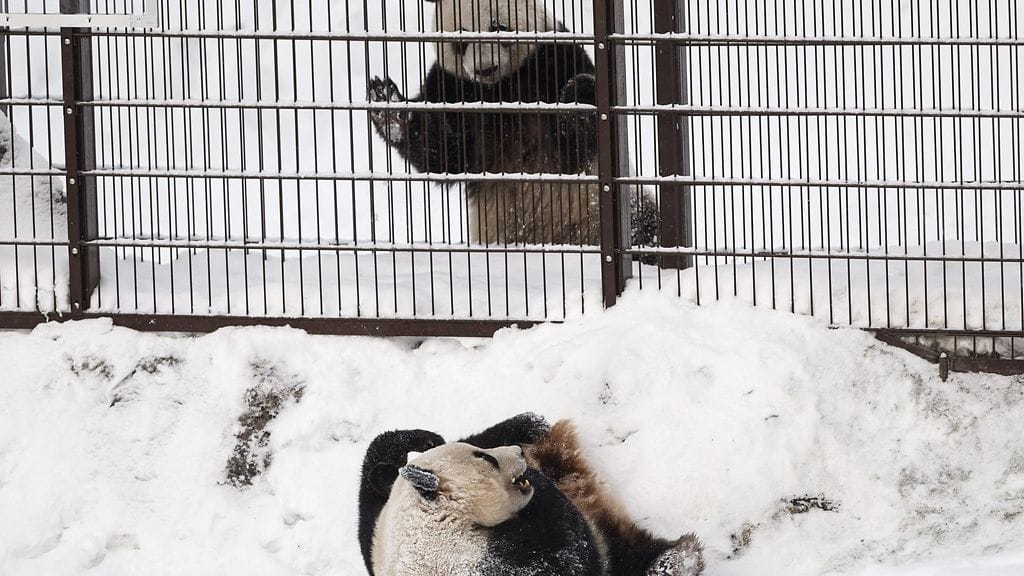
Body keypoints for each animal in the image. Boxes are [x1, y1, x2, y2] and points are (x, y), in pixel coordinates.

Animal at [358, 413, 704, 576]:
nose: (516, 452)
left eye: (480, 451)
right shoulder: (478, 565)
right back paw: (675, 560)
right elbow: (562, 550)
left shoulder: (377, 534)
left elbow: (372, 488)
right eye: (487, 460)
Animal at [367, 0, 657, 248]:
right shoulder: (452, 86)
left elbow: (575, 148)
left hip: (621, 209)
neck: (500, 89)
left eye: (498, 27)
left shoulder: (552, 60)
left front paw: (578, 98)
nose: (484, 69)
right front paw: (390, 109)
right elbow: (446, 155)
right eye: (462, 39)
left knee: (647, 228)